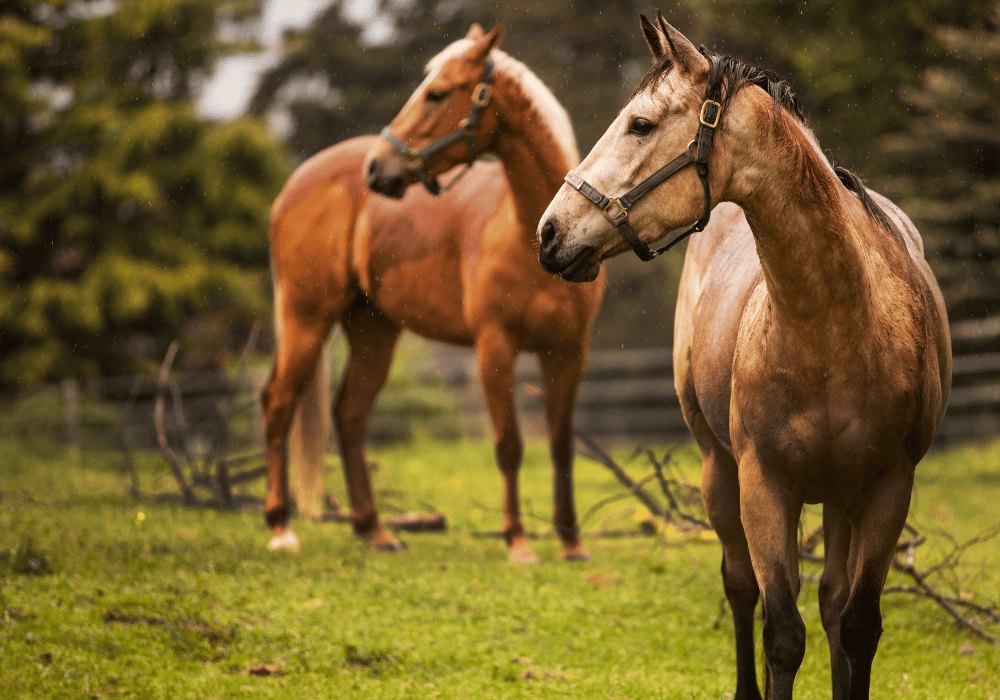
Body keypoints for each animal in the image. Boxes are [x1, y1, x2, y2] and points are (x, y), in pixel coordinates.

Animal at [262, 23, 600, 564]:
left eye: (436, 93)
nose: (377, 169)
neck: (532, 234)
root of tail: (297, 182)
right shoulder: (494, 348)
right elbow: (509, 444)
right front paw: (518, 543)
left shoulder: (568, 352)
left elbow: (561, 444)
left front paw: (572, 544)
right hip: (305, 318)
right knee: (278, 403)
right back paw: (280, 528)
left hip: (373, 332)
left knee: (349, 415)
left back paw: (375, 532)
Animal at [536, 10, 948, 700]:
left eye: (640, 123)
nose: (549, 232)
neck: (839, 330)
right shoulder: (764, 486)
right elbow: (781, 632)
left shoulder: (891, 487)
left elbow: (857, 627)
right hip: (718, 470)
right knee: (741, 587)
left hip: (842, 497)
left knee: (833, 603)